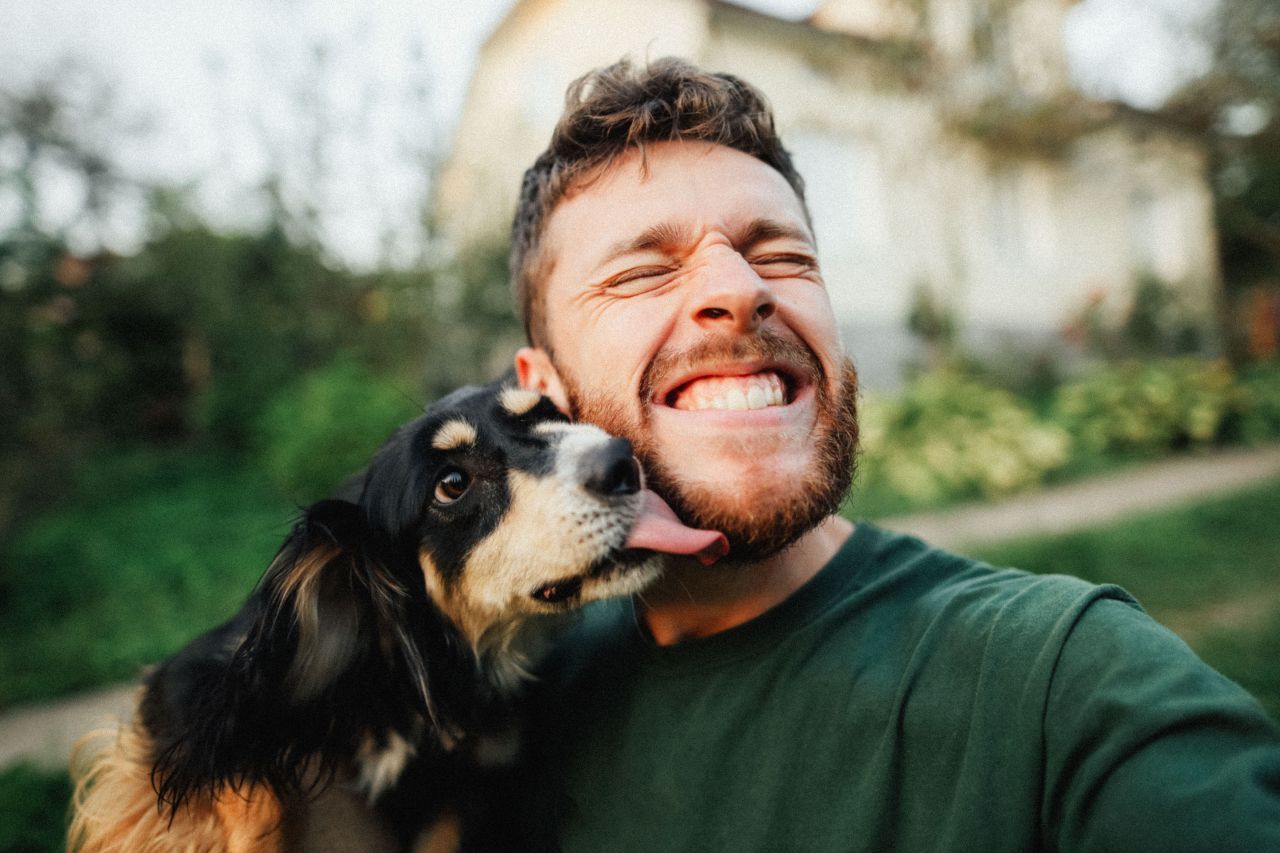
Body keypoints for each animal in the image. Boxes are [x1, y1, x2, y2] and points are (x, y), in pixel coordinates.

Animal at [70, 379, 727, 850]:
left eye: (552, 414)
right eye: (452, 483)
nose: (623, 462)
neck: (409, 680)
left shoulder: (467, 793)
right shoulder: (186, 691)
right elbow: (248, 793)